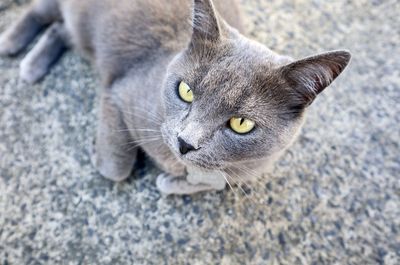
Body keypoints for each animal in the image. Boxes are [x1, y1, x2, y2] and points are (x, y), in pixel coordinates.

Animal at [0, 0, 350, 194]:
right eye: (186, 90)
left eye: (241, 124)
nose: (185, 143)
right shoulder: (119, 92)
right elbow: (116, 167)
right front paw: (95, 151)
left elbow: (216, 180)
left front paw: (172, 183)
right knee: (43, 13)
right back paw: (12, 45)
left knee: (62, 29)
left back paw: (33, 63)